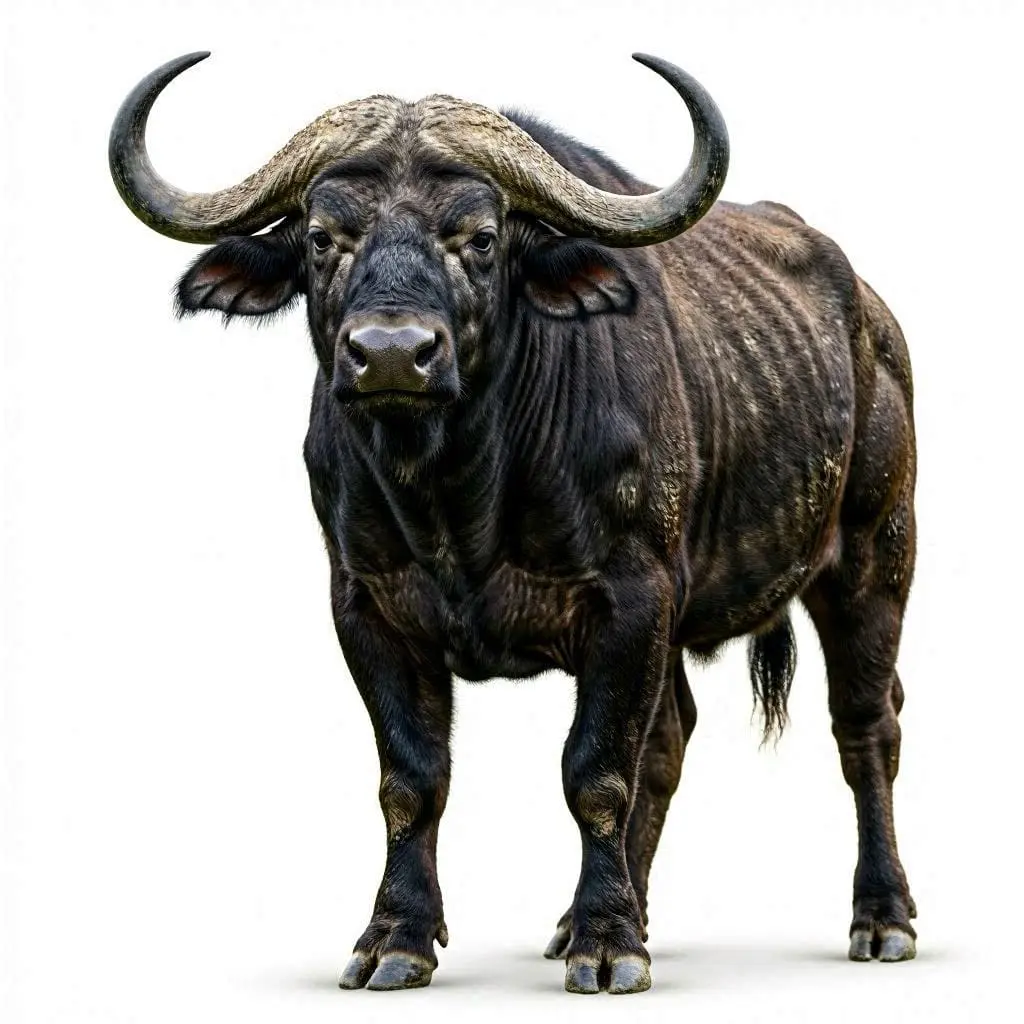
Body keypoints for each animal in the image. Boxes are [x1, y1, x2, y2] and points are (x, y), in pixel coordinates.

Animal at [109, 51, 918, 994]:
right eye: (320, 237)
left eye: (482, 237)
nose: (392, 354)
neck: (457, 499)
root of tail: (872, 320)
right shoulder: (366, 607)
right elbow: (412, 778)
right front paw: (398, 938)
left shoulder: (630, 601)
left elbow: (597, 773)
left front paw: (610, 947)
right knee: (672, 738)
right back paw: (594, 919)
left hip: (874, 554)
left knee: (865, 725)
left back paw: (881, 917)